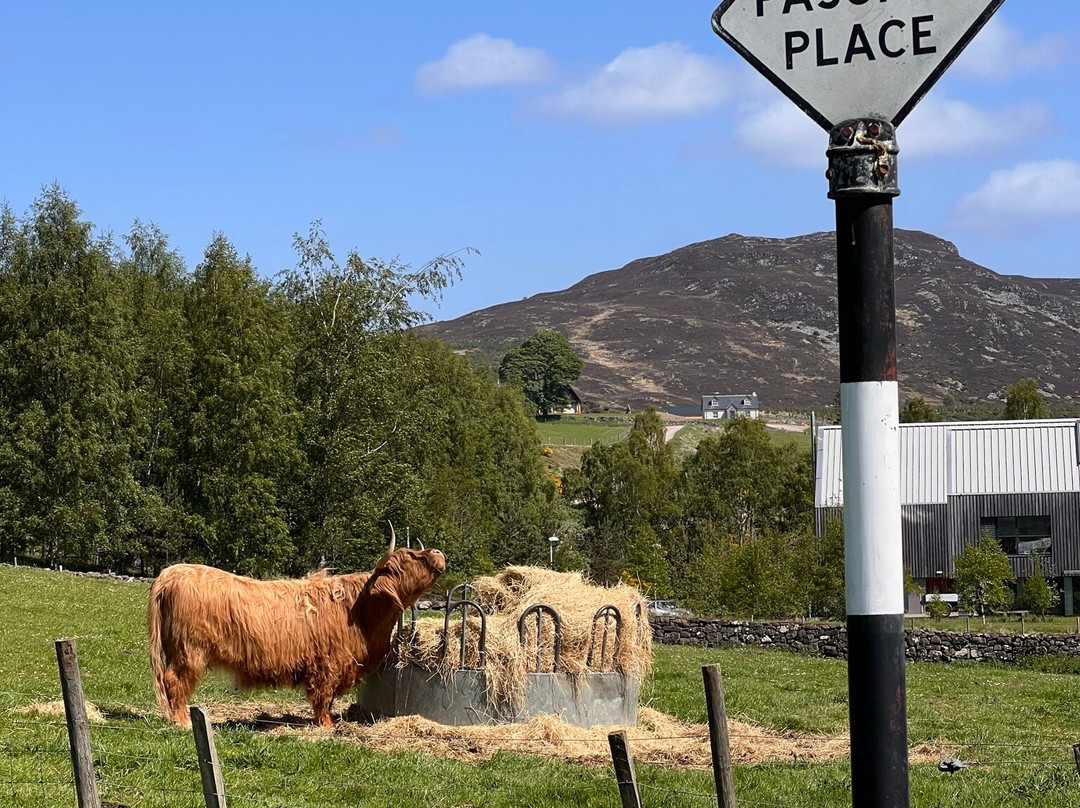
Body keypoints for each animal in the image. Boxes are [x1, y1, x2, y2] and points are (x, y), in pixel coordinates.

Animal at [147, 529, 442, 725]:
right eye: (411, 556)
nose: (438, 552)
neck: (362, 611)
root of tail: (171, 572)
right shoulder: (327, 666)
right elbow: (323, 698)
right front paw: (327, 726)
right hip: (190, 651)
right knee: (174, 681)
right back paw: (182, 722)